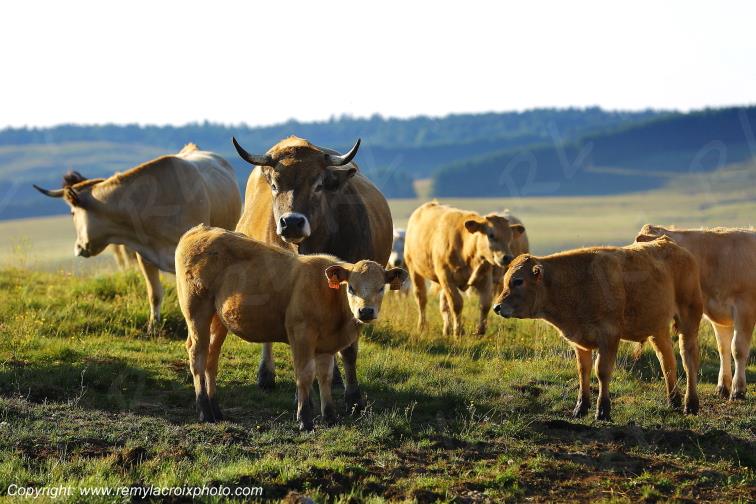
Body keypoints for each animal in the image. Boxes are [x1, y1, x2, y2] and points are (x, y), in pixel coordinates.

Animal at [175, 225, 407, 430]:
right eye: (350, 287)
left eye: (381, 288)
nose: (365, 311)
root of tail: (200, 230)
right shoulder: (301, 334)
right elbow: (305, 375)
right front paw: (305, 419)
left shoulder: (326, 345)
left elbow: (325, 377)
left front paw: (330, 416)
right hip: (197, 311)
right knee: (197, 355)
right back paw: (204, 410)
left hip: (218, 319)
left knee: (211, 358)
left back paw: (216, 409)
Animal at [232, 135, 392, 412]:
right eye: (274, 185)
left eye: (318, 185)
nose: (292, 222)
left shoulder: (359, 296)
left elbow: (349, 350)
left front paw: (353, 397)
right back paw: (266, 376)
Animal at [404, 201, 526, 337]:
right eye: (491, 235)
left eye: (510, 237)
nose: (508, 257)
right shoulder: (446, 276)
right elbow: (456, 303)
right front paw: (459, 331)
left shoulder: (485, 278)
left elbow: (485, 304)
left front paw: (480, 331)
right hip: (414, 268)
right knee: (421, 298)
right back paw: (422, 326)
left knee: (444, 304)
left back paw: (447, 329)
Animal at [493, 237, 703, 420]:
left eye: (518, 281)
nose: (497, 307)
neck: (576, 284)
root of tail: (671, 244)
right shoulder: (580, 342)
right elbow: (583, 371)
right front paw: (580, 408)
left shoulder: (609, 336)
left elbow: (602, 371)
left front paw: (603, 410)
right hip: (657, 328)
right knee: (667, 361)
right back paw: (673, 401)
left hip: (688, 320)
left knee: (688, 359)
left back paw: (691, 404)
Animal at [636, 224, 756, 400]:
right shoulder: (719, 316)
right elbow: (723, 348)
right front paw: (722, 387)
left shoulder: (745, 307)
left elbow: (738, 349)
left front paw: (738, 390)